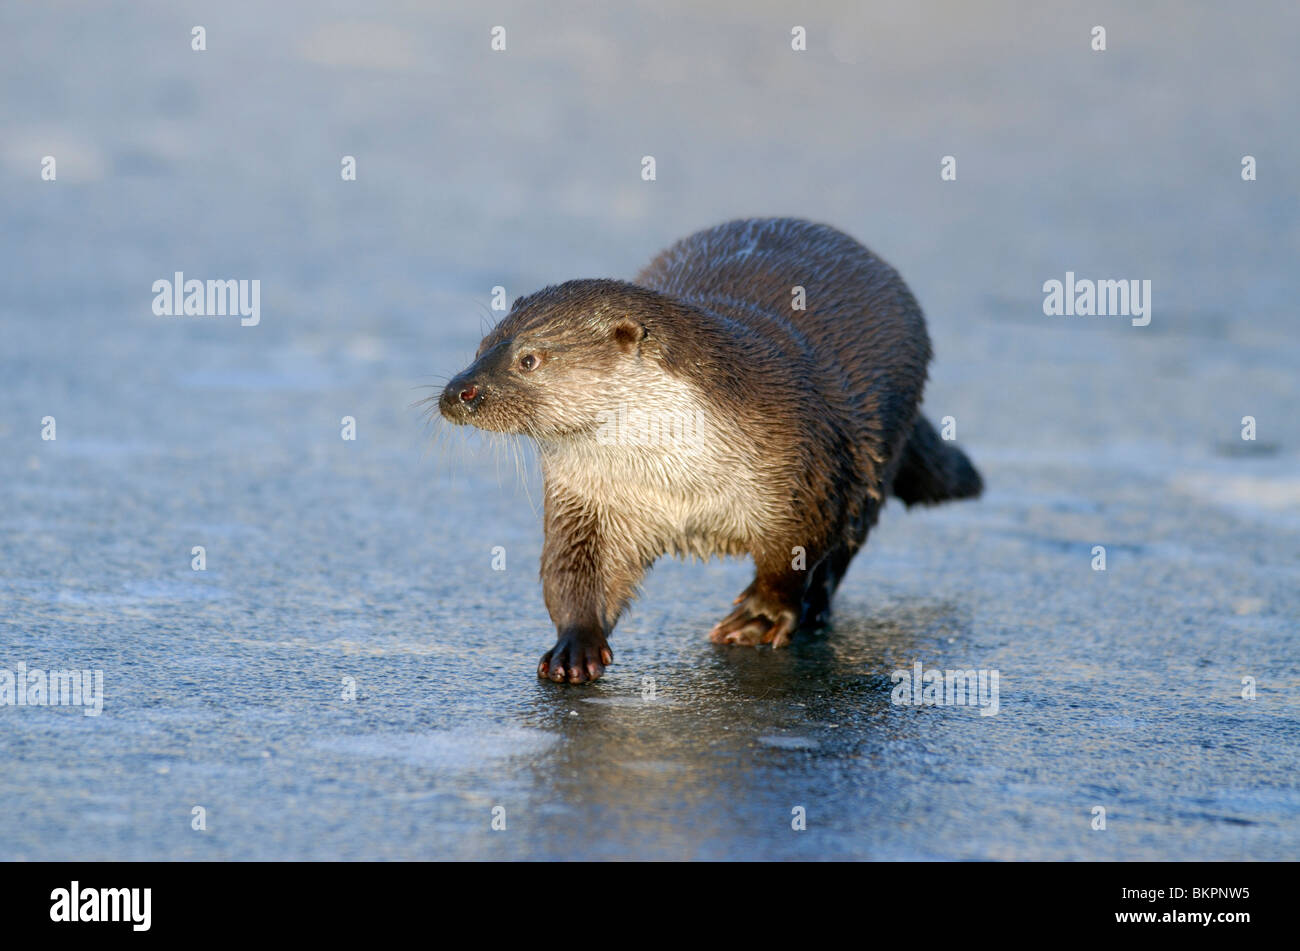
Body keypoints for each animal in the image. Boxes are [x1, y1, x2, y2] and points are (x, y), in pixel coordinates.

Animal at [436, 220, 977, 685]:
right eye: (480, 347)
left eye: (528, 360)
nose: (458, 392)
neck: (681, 482)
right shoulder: (588, 500)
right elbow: (574, 572)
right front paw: (575, 647)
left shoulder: (808, 470)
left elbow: (795, 555)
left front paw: (759, 618)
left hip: (880, 447)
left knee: (847, 543)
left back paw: (815, 610)